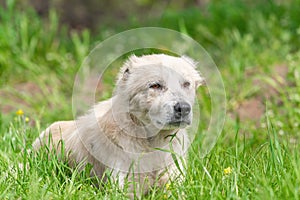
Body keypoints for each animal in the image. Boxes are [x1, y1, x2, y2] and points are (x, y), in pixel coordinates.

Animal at [32, 54, 204, 196]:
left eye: (186, 84)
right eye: (155, 85)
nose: (183, 108)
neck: (151, 143)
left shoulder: (173, 183)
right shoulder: (124, 187)